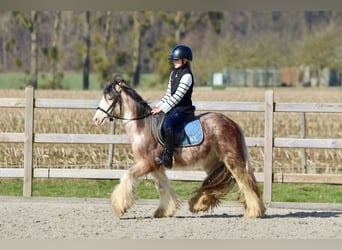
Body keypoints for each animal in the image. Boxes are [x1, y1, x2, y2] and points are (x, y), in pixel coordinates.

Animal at [93, 76, 268, 219]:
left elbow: (126, 176)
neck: (143, 127)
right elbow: (163, 187)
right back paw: (200, 204)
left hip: (232, 158)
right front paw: (165, 211)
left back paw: (254, 212)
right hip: (212, 161)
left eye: (109, 98)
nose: (96, 119)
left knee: (245, 181)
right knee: (216, 182)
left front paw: (119, 206)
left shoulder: (147, 164)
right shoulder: (156, 166)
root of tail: (232, 123)